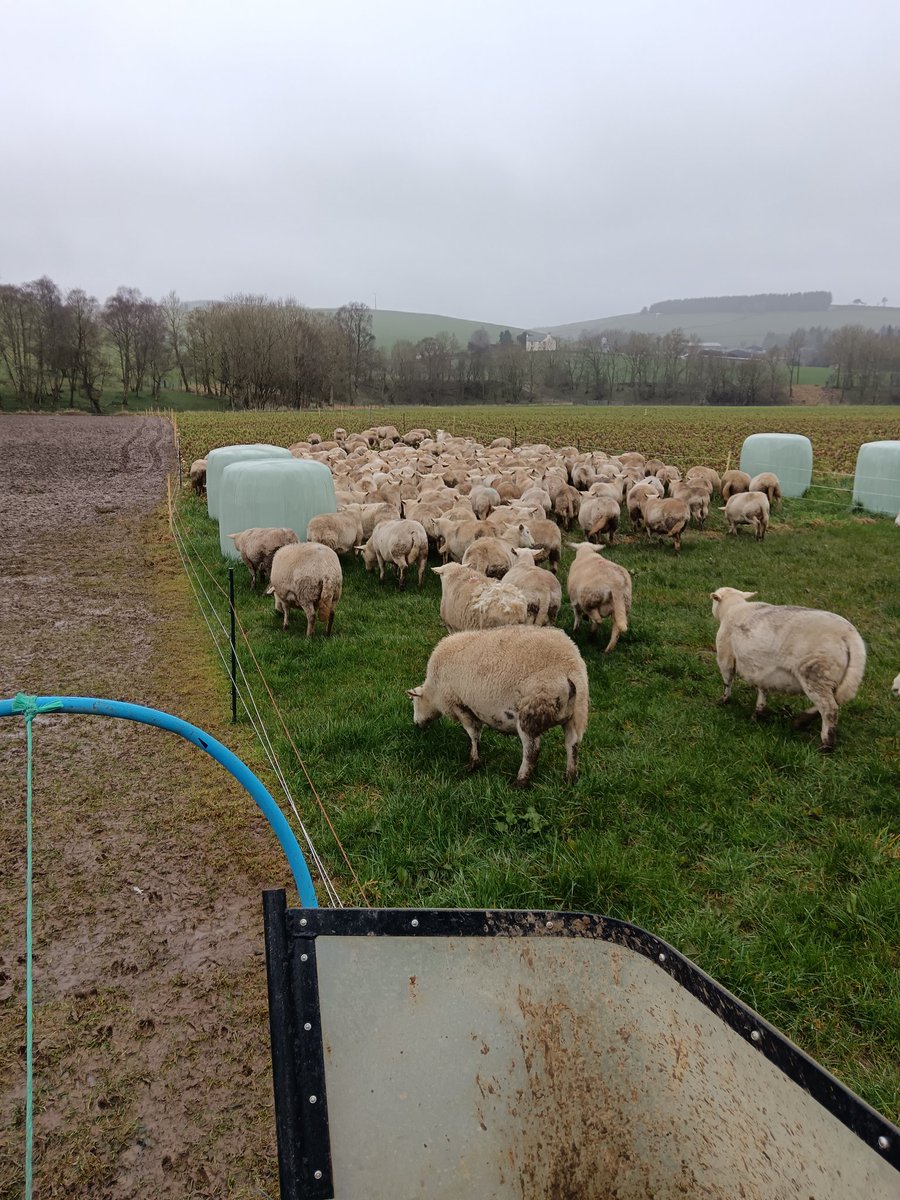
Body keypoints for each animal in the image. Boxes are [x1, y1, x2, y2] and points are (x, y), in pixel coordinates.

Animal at [408, 628, 592, 787]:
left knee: (532, 750)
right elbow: (477, 732)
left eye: (414, 703)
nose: (416, 724)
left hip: (530, 712)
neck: (433, 691)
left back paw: (520, 782)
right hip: (577, 713)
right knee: (572, 744)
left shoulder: (459, 704)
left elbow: (472, 733)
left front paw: (473, 762)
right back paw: (570, 778)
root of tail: (569, 671)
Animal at [710, 583, 868, 744]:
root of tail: (850, 636)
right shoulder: (762, 668)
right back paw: (802, 721)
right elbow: (762, 689)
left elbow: (727, 679)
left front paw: (723, 701)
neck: (734, 607)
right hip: (836, 677)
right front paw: (758, 712)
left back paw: (826, 743)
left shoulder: (724, 653)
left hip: (815, 674)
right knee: (836, 701)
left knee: (830, 709)